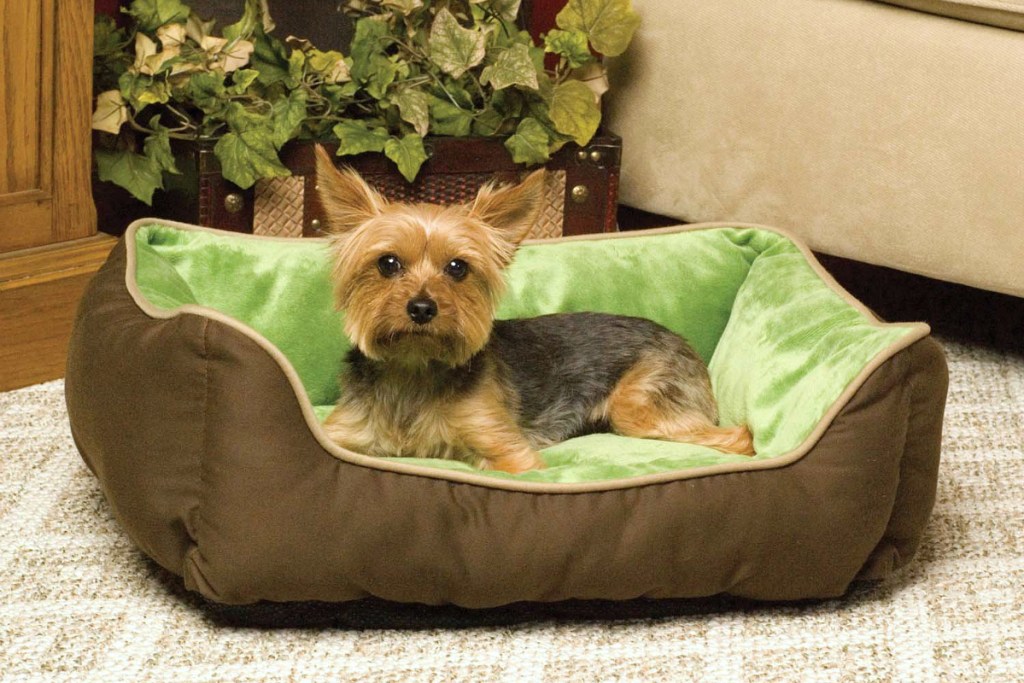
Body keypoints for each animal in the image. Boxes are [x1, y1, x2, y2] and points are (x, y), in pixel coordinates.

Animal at [315, 146, 757, 473]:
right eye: (387, 263)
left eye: (458, 268)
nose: (422, 308)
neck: (413, 369)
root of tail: (684, 343)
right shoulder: (343, 433)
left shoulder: (507, 449)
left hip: (639, 405)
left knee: (741, 437)